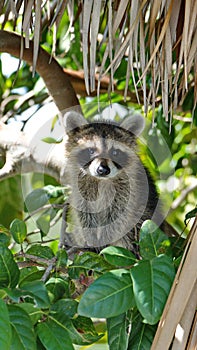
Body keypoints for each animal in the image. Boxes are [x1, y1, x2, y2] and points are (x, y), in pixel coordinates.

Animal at [62, 110, 162, 256]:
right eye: (91, 150)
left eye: (115, 152)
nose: (103, 170)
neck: (101, 180)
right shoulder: (81, 187)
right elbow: (84, 214)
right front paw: (91, 241)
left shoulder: (129, 190)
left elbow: (118, 216)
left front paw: (104, 240)